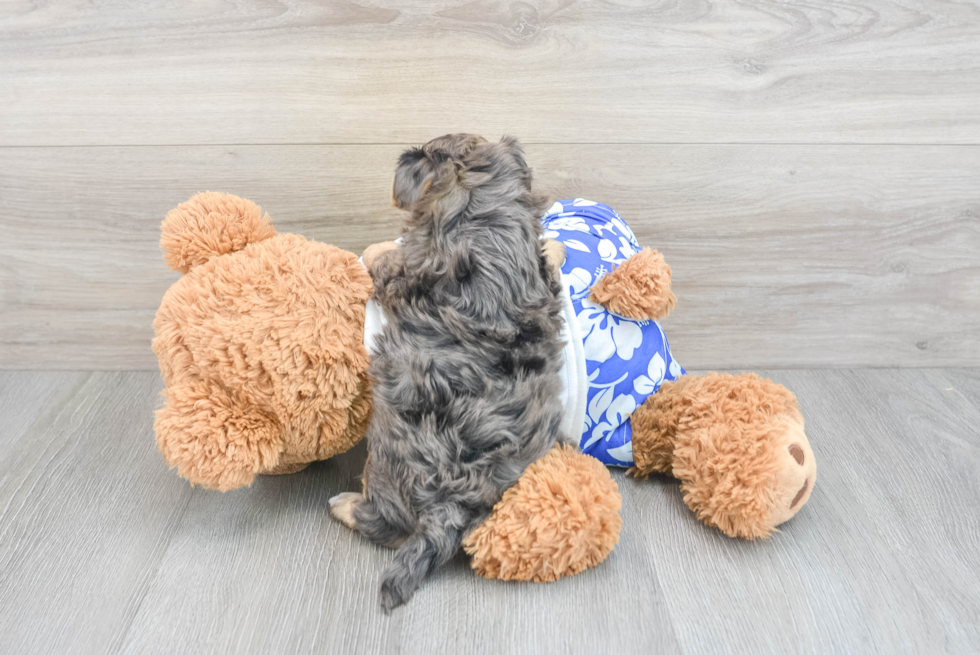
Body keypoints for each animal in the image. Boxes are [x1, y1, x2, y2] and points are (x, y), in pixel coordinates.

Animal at [334, 136, 572, 612]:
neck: (488, 221)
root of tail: (454, 503)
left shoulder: (405, 271)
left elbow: (381, 256)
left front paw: (374, 248)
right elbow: (549, 259)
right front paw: (556, 246)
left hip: (385, 460)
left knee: (388, 525)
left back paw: (345, 506)